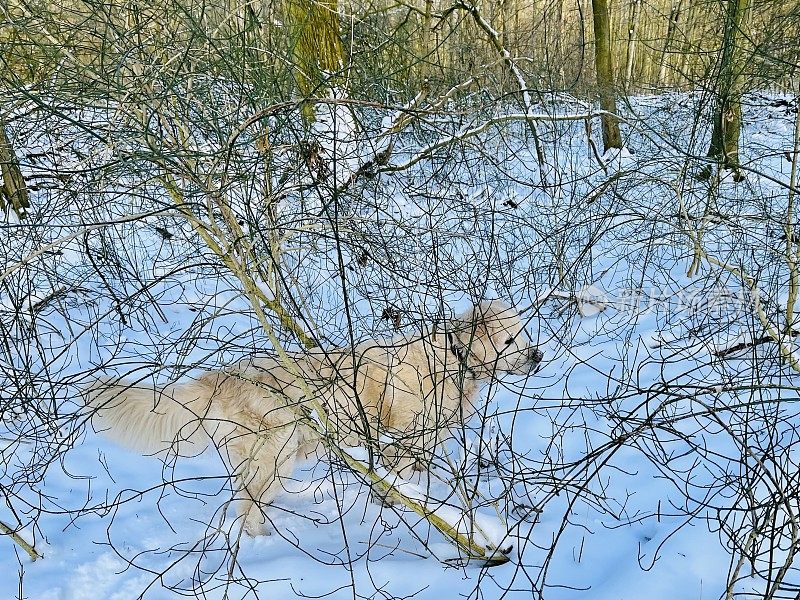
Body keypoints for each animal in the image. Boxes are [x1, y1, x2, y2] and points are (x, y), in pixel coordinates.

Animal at [84, 300, 540, 536]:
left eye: (524, 334)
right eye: (510, 340)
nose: (537, 356)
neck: (453, 360)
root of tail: (222, 377)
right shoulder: (402, 436)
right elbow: (402, 478)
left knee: (244, 499)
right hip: (275, 452)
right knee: (248, 504)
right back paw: (264, 539)